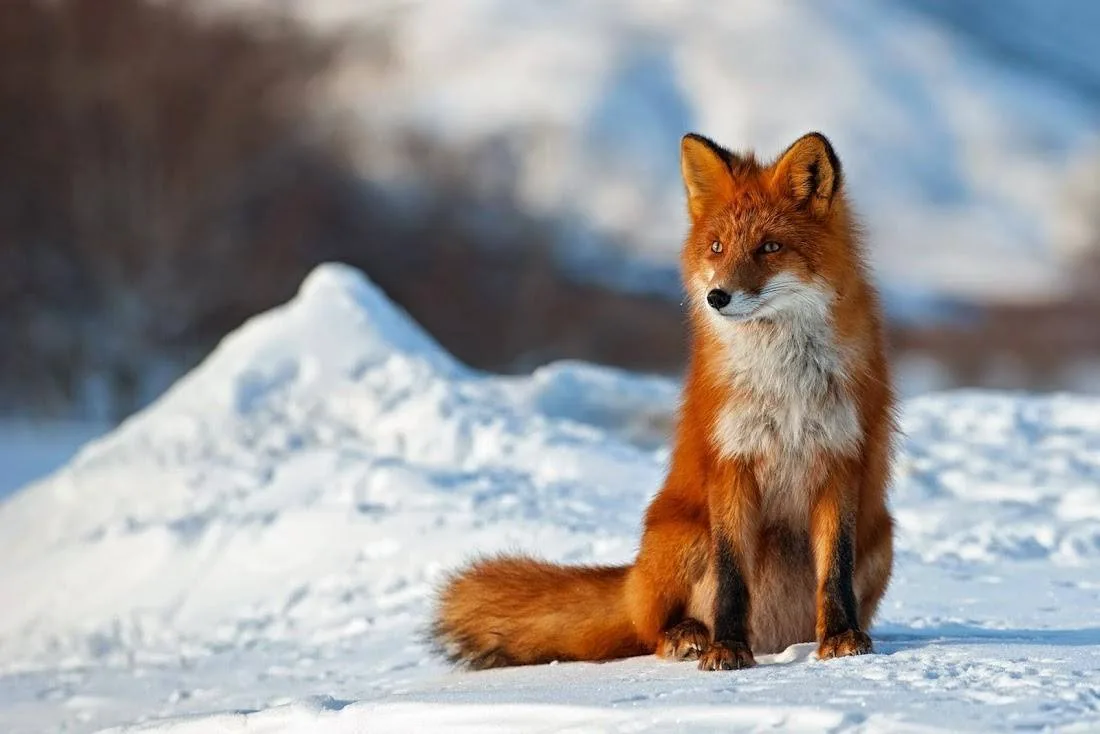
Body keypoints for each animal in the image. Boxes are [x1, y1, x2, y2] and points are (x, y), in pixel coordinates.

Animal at [431, 131, 896, 671]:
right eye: (717, 247)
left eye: (770, 247)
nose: (718, 296)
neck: (784, 383)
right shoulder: (730, 463)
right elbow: (732, 579)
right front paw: (726, 648)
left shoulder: (840, 459)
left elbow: (834, 572)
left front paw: (842, 637)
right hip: (684, 535)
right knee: (651, 629)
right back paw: (688, 636)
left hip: (880, 537)